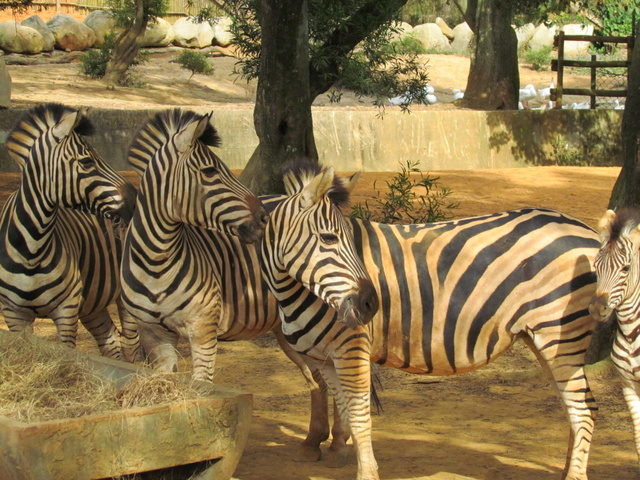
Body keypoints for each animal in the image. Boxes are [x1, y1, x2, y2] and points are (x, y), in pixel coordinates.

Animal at [0, 105, 138, 360]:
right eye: (86, 161)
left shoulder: (67, 308)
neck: (31, 250)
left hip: (123, 292)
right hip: (93, 301)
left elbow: (67, 352)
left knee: (130, 343)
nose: (134, 200)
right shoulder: (13, 314)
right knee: (110, 338)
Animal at [120, 109, 270, 382]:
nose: (264, 218)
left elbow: (203, 385)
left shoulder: (203, 330)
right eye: (209, 171)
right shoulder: (153, 334)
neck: (155, 263)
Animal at [260, 161, 600, 480]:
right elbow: (345, 410)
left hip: (560, 330)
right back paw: (567, 471)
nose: (370, 305)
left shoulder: (351, 346)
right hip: (541, 336)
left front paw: (366, 473)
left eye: (344, 240)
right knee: (572, 405)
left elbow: (358, 415)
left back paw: (574, 475)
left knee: (583, 408)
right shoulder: (324, 359)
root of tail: (587, 230)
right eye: (329, 238)